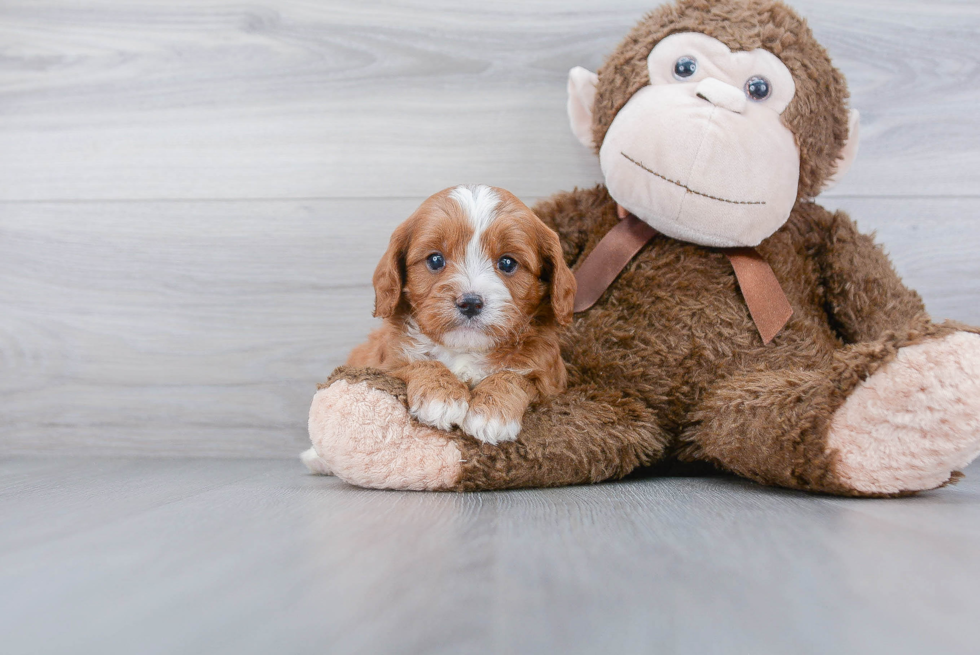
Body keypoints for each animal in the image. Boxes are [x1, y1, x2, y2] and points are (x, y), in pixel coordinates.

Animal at [346, 184, 576, 446]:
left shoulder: (551, 381)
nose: (470, 303)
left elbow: (516, 377)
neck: (464, 349)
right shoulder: (383, 364)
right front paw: (441, 396)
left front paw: (492, 413)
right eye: (435, 259)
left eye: (507, 263)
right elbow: (419, 362)